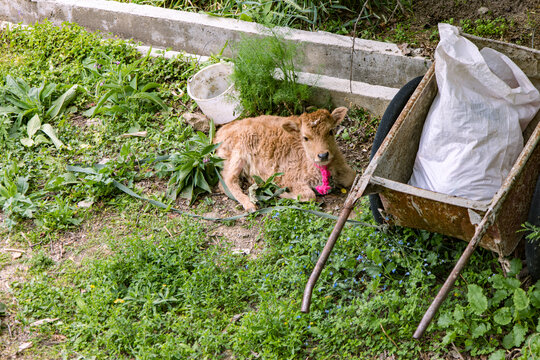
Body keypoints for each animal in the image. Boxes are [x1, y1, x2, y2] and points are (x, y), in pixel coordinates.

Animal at [213, 108, 356, 212]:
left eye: (331, 131)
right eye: (305, 137)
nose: (323, 155)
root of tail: (219, 133)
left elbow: (351, 177)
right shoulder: (287, 177)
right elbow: (309, 195)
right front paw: (281, 193)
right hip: (238, 153)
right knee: (228, 180)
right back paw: (250, 205)